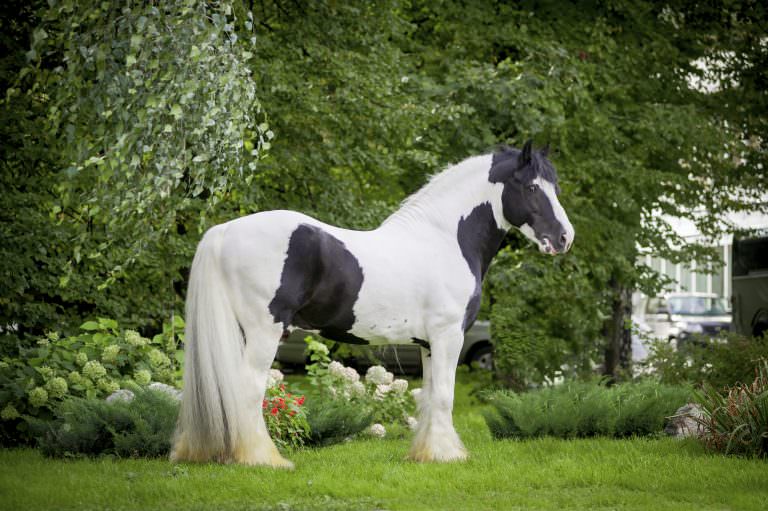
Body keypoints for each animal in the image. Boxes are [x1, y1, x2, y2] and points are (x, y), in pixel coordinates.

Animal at [170, 141, 574, 467]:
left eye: (555, 187)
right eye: (532, 187)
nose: (564, 238)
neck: (445, 239)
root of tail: (225, 231)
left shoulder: (429, 344)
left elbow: (429, 397)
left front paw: (426, 454)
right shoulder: (449, 337)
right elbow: (445, 396)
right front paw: (448, 455)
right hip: (263, 333)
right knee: (248, 390)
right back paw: (262, 459)